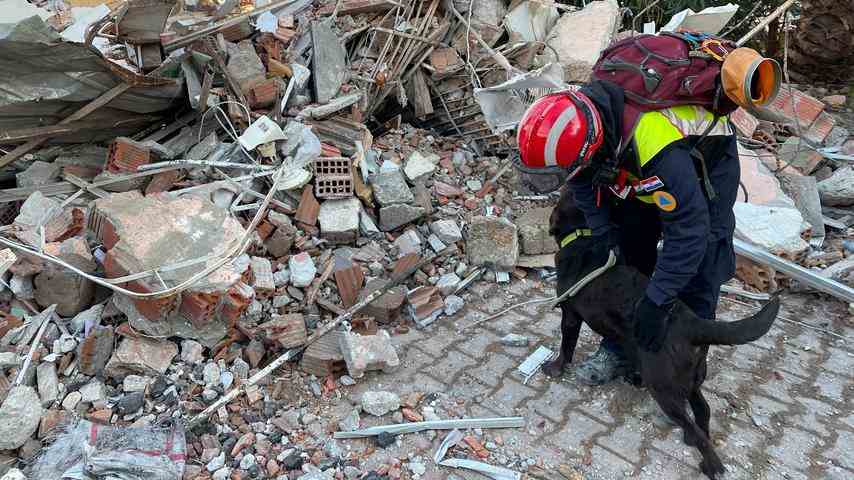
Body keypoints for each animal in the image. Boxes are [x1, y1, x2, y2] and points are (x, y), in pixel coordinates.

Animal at [544, 189, 780, 478]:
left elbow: (566, 346)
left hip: (663, 386)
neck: (582, 234)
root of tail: (692, 323)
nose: (566, 184)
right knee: (703, 411)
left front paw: (555, 367)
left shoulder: (570, 315)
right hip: (688, 379)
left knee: (694, 425)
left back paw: (712, 465)